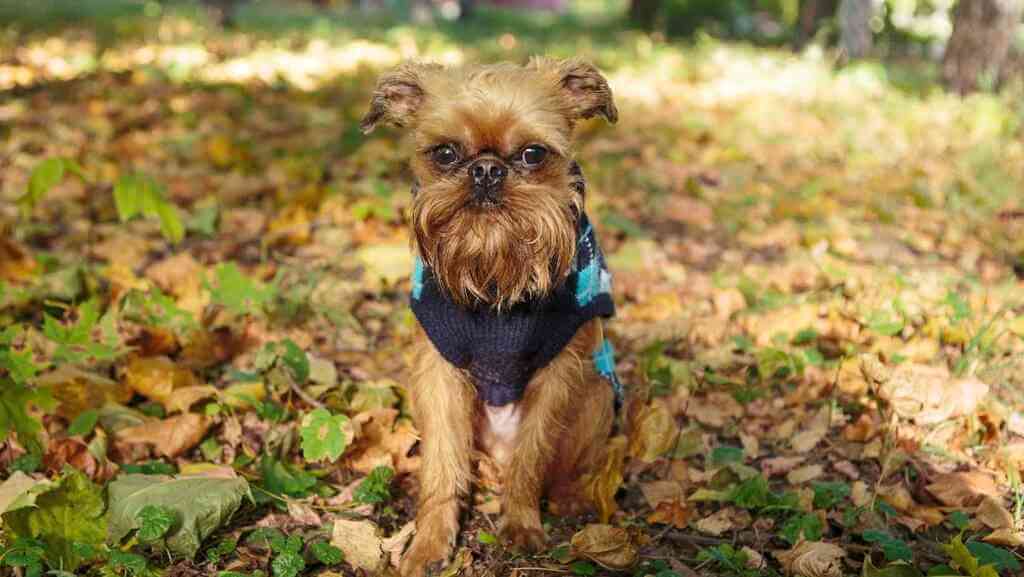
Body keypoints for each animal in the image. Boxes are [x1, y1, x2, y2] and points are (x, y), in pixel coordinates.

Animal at [360, 58, 618, 577]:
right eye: (445, 153)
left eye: (533, 155)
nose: (485, 170)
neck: (496, 271)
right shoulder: (438, 378)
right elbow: (442, 467)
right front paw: (430, 543)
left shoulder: (558, 375)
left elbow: (532, 458)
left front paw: (520, 523)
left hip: (599, 395)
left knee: (561, 468)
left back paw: (571, 500)